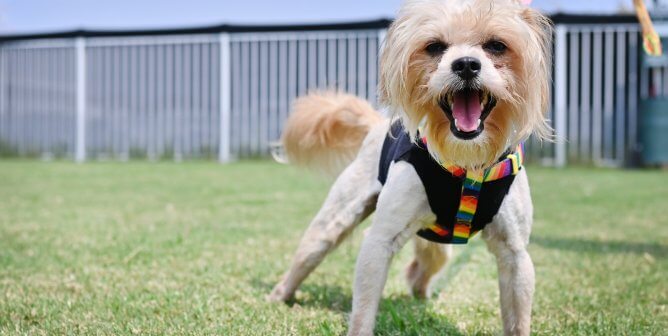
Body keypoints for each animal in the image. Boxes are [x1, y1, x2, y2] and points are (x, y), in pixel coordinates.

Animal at [268, 1, 552, 334]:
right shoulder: (380, 240)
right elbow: (363, 312)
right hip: (330, 226)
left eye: (496, 45)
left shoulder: (515, 254)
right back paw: (279, 295)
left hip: (440, 247)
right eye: (435, 47)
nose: (466, 65)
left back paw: (421, 294)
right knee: (305, 259)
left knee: (419, 269)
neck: (467, 162)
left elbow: (518, 320)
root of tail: (377, 125)